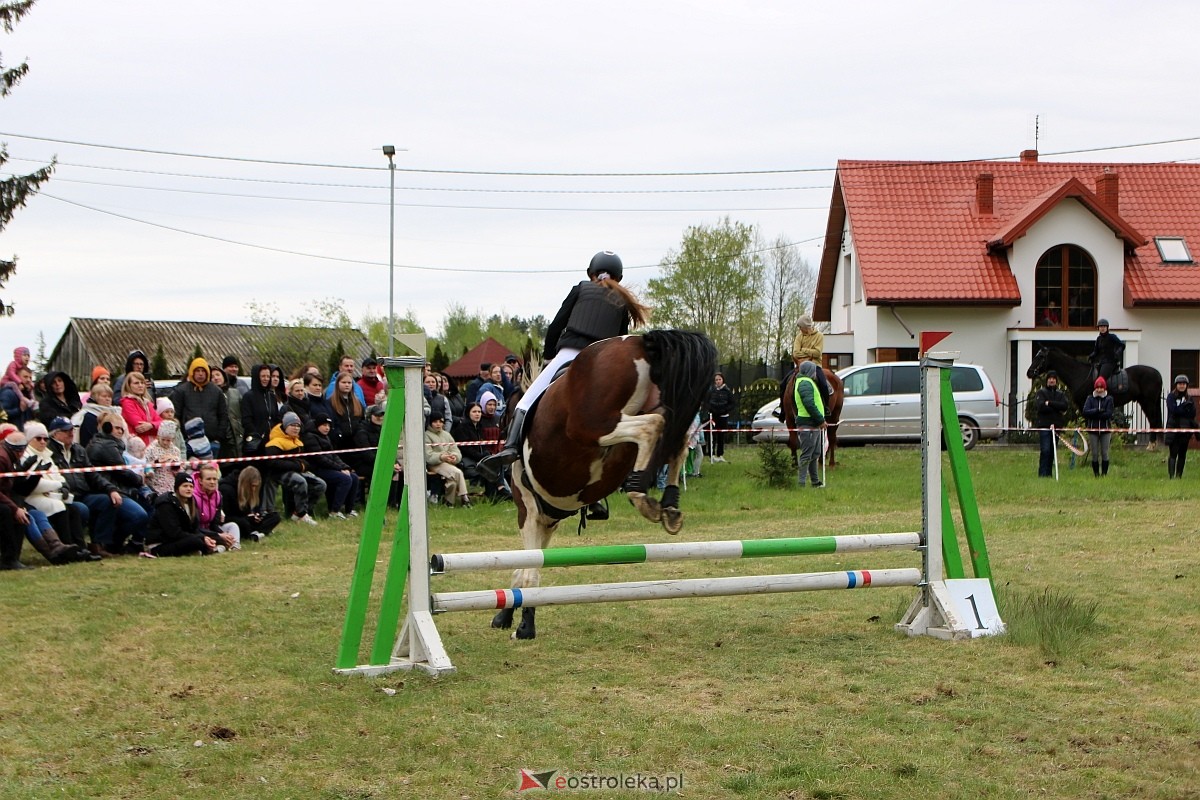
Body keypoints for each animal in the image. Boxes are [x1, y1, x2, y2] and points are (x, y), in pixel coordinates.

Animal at [492, 328, 715, 642]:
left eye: (502, 415)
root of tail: (640, 342)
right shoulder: (548, 520)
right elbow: (524, 569)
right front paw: (506, 614)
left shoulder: (529, 512)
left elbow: (529, 572)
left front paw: (524, 626)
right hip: (657, 410)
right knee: (677, 436)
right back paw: (669, 505)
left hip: (594, 426)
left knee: (652, 426)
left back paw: (640, 494)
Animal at [1027, 347, 1156, 450]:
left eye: (1040, 356)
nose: (1029, 372)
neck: (1078, 374)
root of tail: (1156, 373)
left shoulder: (1085, 405)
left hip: (1150, 402)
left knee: (1154, 420)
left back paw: (1152, 445)